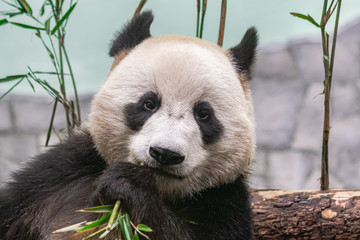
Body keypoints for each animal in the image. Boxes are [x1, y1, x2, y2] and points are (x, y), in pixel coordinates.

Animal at [0, 11, 258, 240]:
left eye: (204, 115)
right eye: (149, 104)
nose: (165, 153)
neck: (161, 189)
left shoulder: (223, 200)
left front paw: (129, 186)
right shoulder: (54, 177)